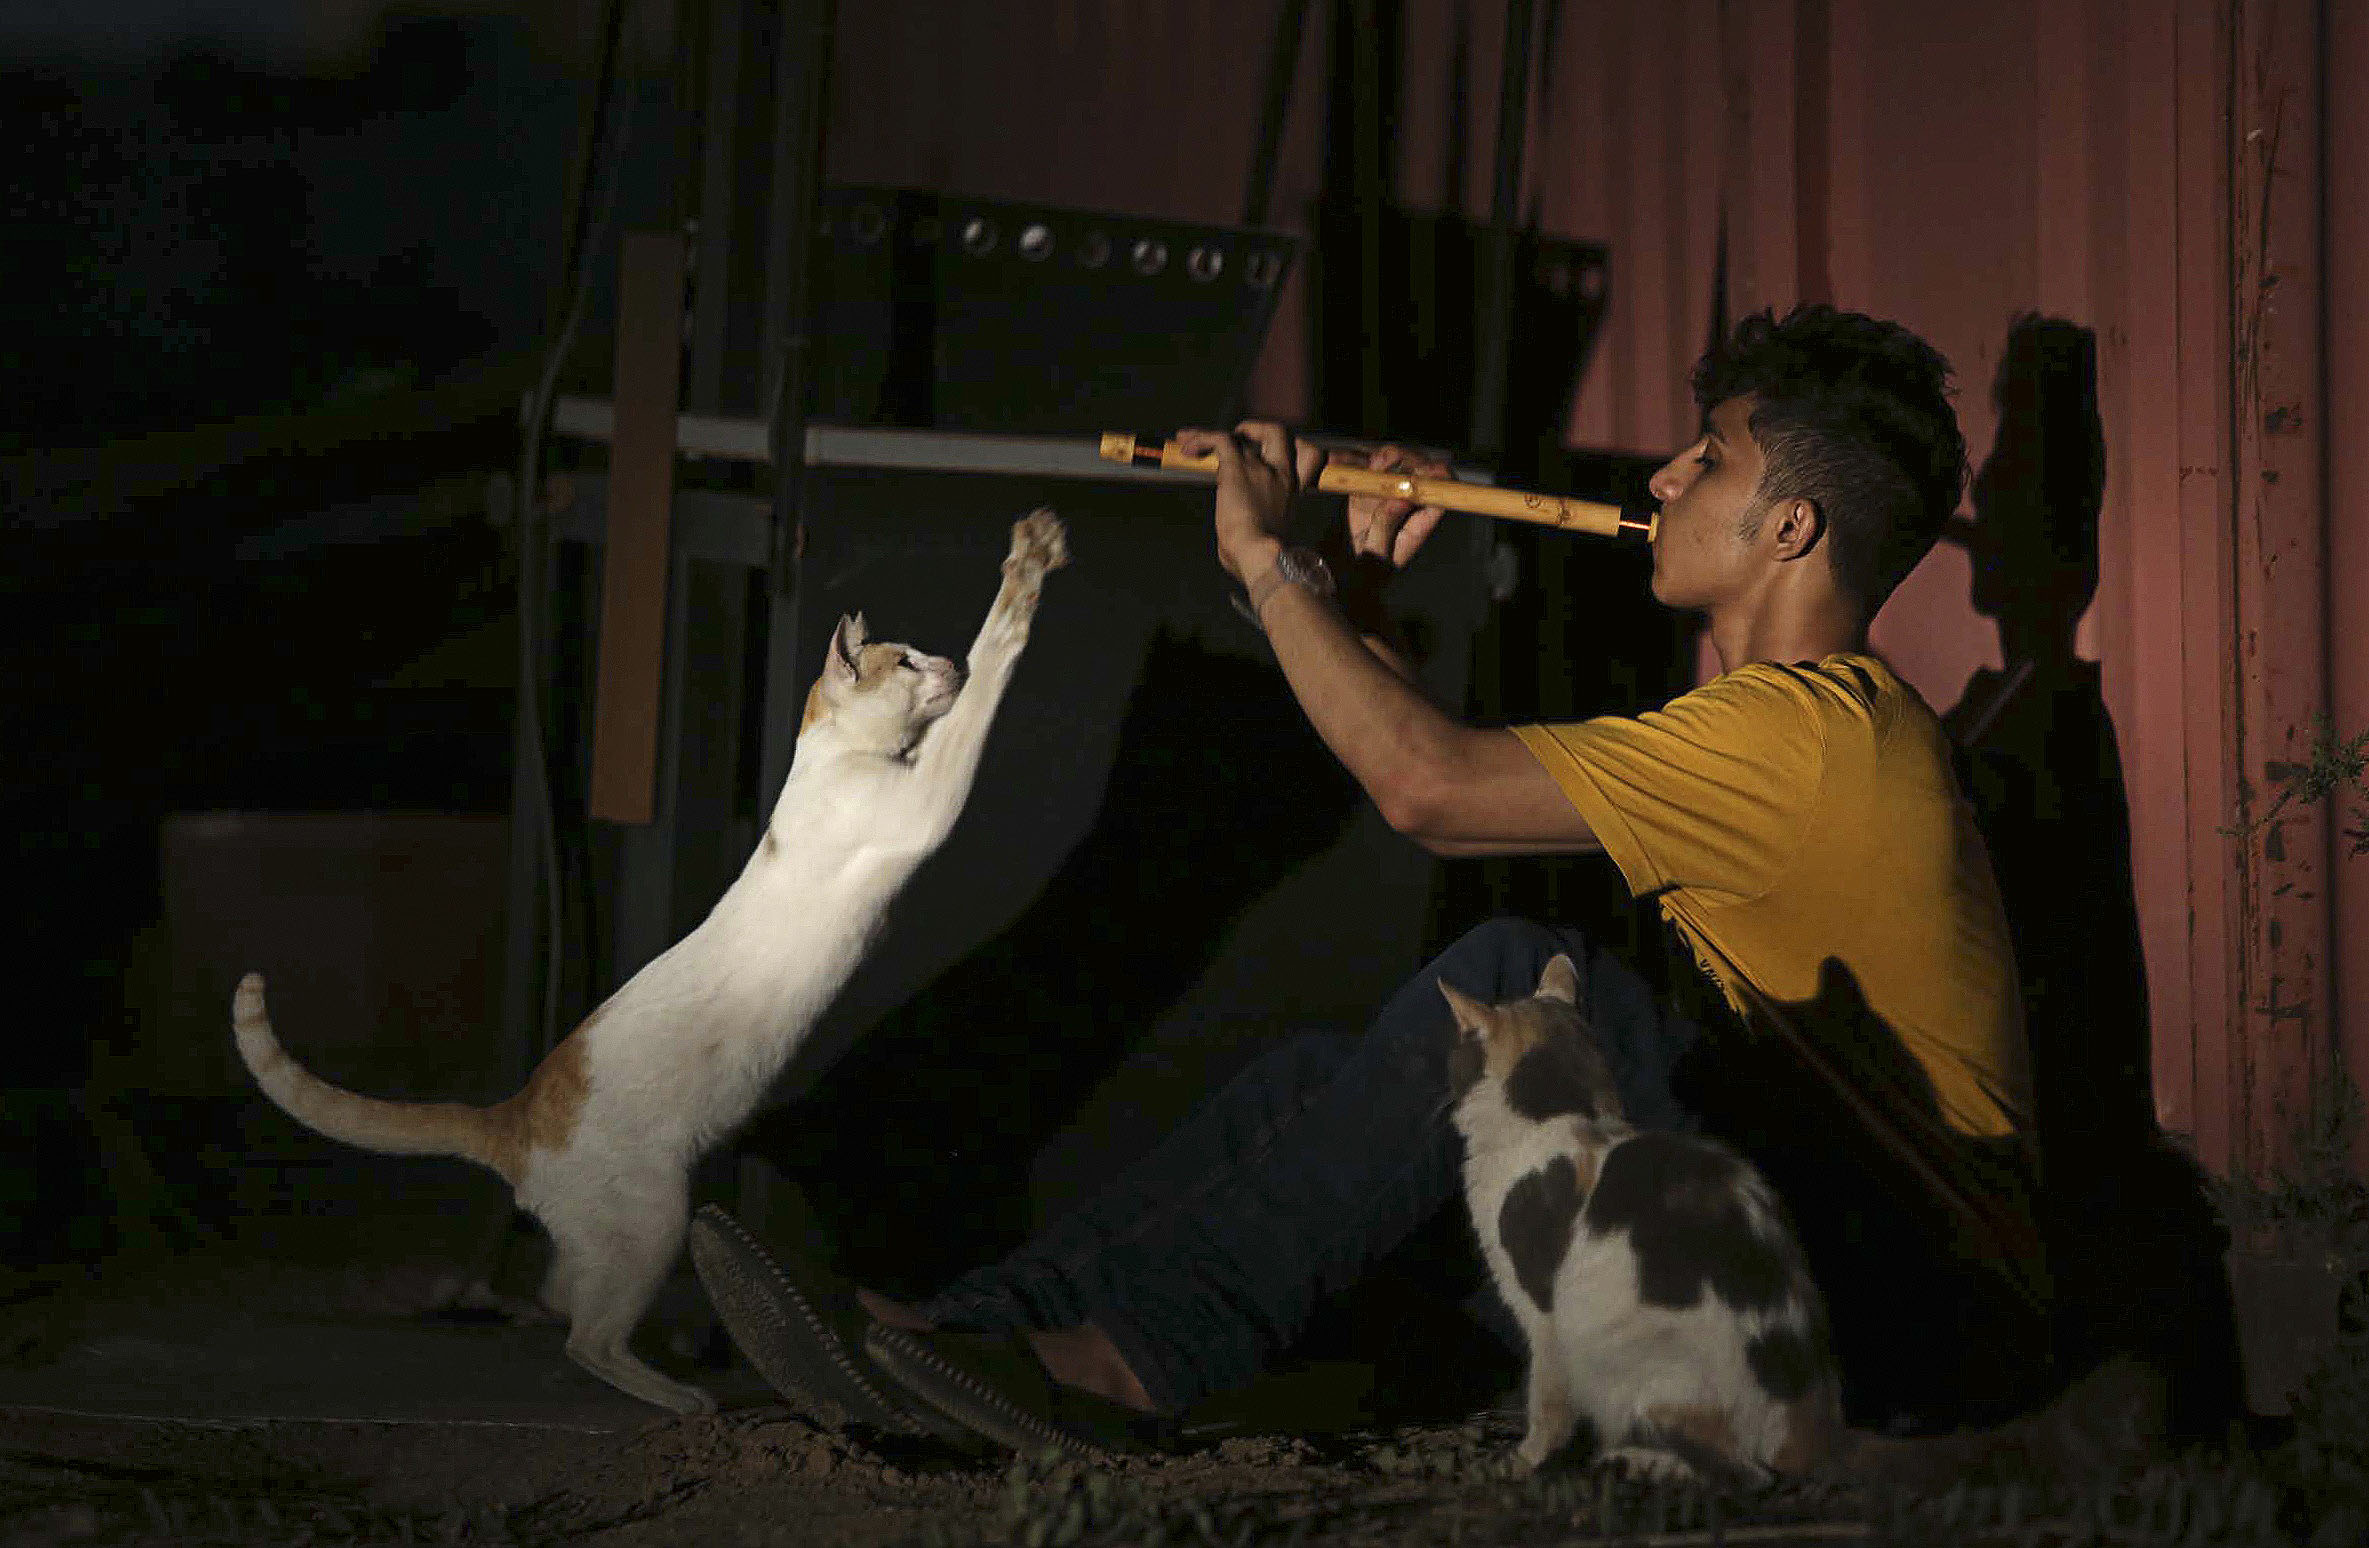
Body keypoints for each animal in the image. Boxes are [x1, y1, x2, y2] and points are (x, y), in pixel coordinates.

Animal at [228, 507, 1066, 1412]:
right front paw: (1023, 578)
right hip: (657, 1219)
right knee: (585, 1339)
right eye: (905, 661)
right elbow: (987, 681)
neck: (832, 755)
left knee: (563, 1299)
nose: (943, 662)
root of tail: (517, 1113)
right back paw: (678, 1393)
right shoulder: (926, 803)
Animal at [1430, 952, 1838, 1488]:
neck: (1562, 1115)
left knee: (1745, 1474)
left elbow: (1547, 1399)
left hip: (1638, 1366)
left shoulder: (1543, 1311)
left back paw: (1637, 1461)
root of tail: (1812, 1446)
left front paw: (1526, 1460)